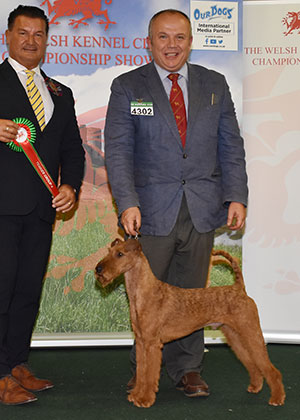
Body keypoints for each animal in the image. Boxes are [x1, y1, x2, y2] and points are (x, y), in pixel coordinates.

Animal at [95, 240, 284, 406]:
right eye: (109, 252)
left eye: (120, 254)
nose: (98, 269)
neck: (142, 293)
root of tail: (239, 288)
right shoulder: (142, 342)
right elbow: (141, 372)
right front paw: (136, 395)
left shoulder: (152, 344)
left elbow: (149, 375)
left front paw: (145, 399)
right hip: (235, 337)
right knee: (252, 364)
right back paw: (255, 386)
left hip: (251, 332)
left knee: (271, 369)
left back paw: (277, 398)